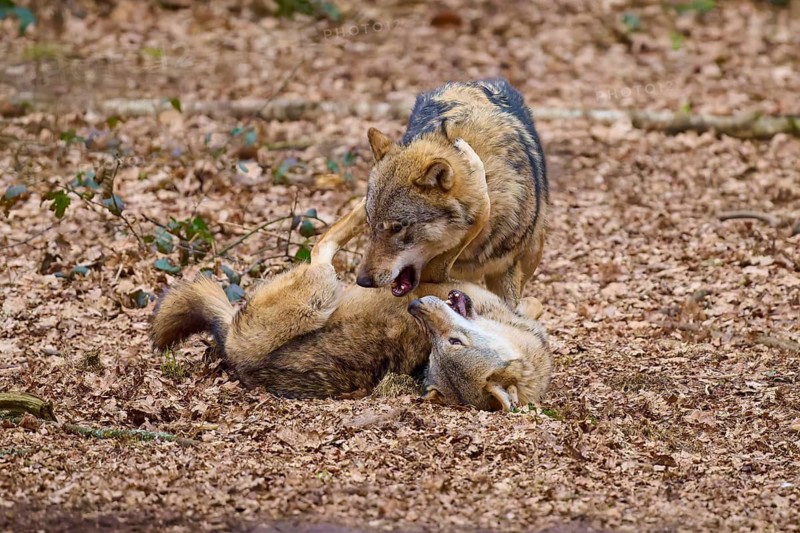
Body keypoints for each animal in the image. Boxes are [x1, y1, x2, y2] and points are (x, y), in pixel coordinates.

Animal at [152, 140, 552, 410]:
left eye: (452, 344)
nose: (417, 307)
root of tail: (235, 354)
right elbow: (479, 212)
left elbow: (480, 212)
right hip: (324, 286)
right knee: (324, 245)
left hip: (321, 287)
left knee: (321, 246)